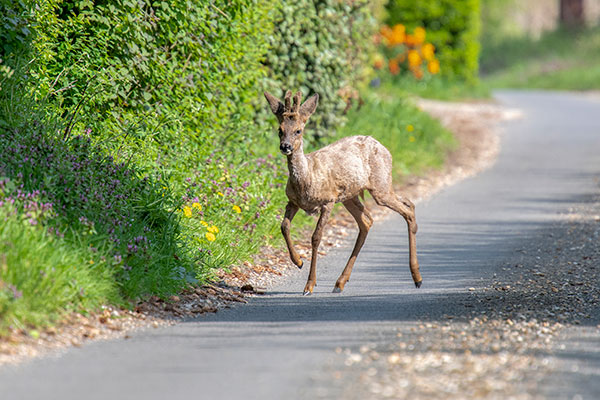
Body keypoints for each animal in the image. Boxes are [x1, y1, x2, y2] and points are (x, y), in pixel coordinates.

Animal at [262, 90, 422, 296]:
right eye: (280, 129)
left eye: (298, 130)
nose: (285, 146)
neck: (307, 179)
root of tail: (384, 147)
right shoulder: (293, 201)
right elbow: (284, 227)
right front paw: (298, 261)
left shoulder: (328, 200)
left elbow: (316, 237)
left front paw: (309, 285)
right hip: (352, 195)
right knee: (374, 218)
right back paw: (340, 282)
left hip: (380, 185)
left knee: (406, 210)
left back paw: (417, 278)